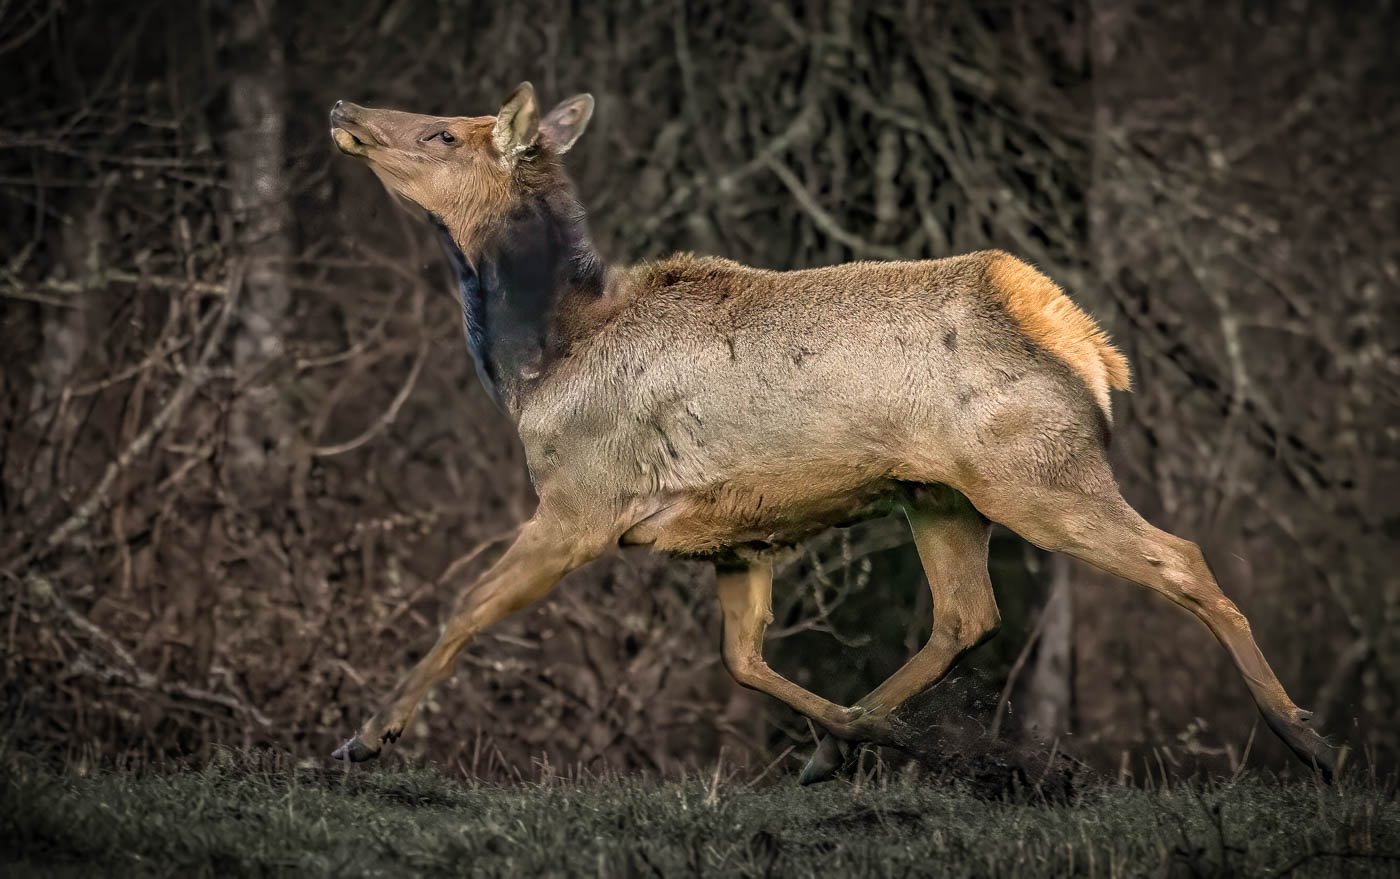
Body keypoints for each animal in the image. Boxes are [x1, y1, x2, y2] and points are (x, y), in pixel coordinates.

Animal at [326, 83, 1337, 784]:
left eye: (443, 131)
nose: (345, 107)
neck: (538, 358)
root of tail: (1084, 344)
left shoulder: (581, 499)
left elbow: (466, 606)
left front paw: (365, 737)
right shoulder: (736, 539)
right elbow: (742, 659)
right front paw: (852, 733)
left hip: (1035, 472)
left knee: (1180, 557)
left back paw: (1306, 736)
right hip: (939, 496)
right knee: (967, 614)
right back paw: (849, 741)